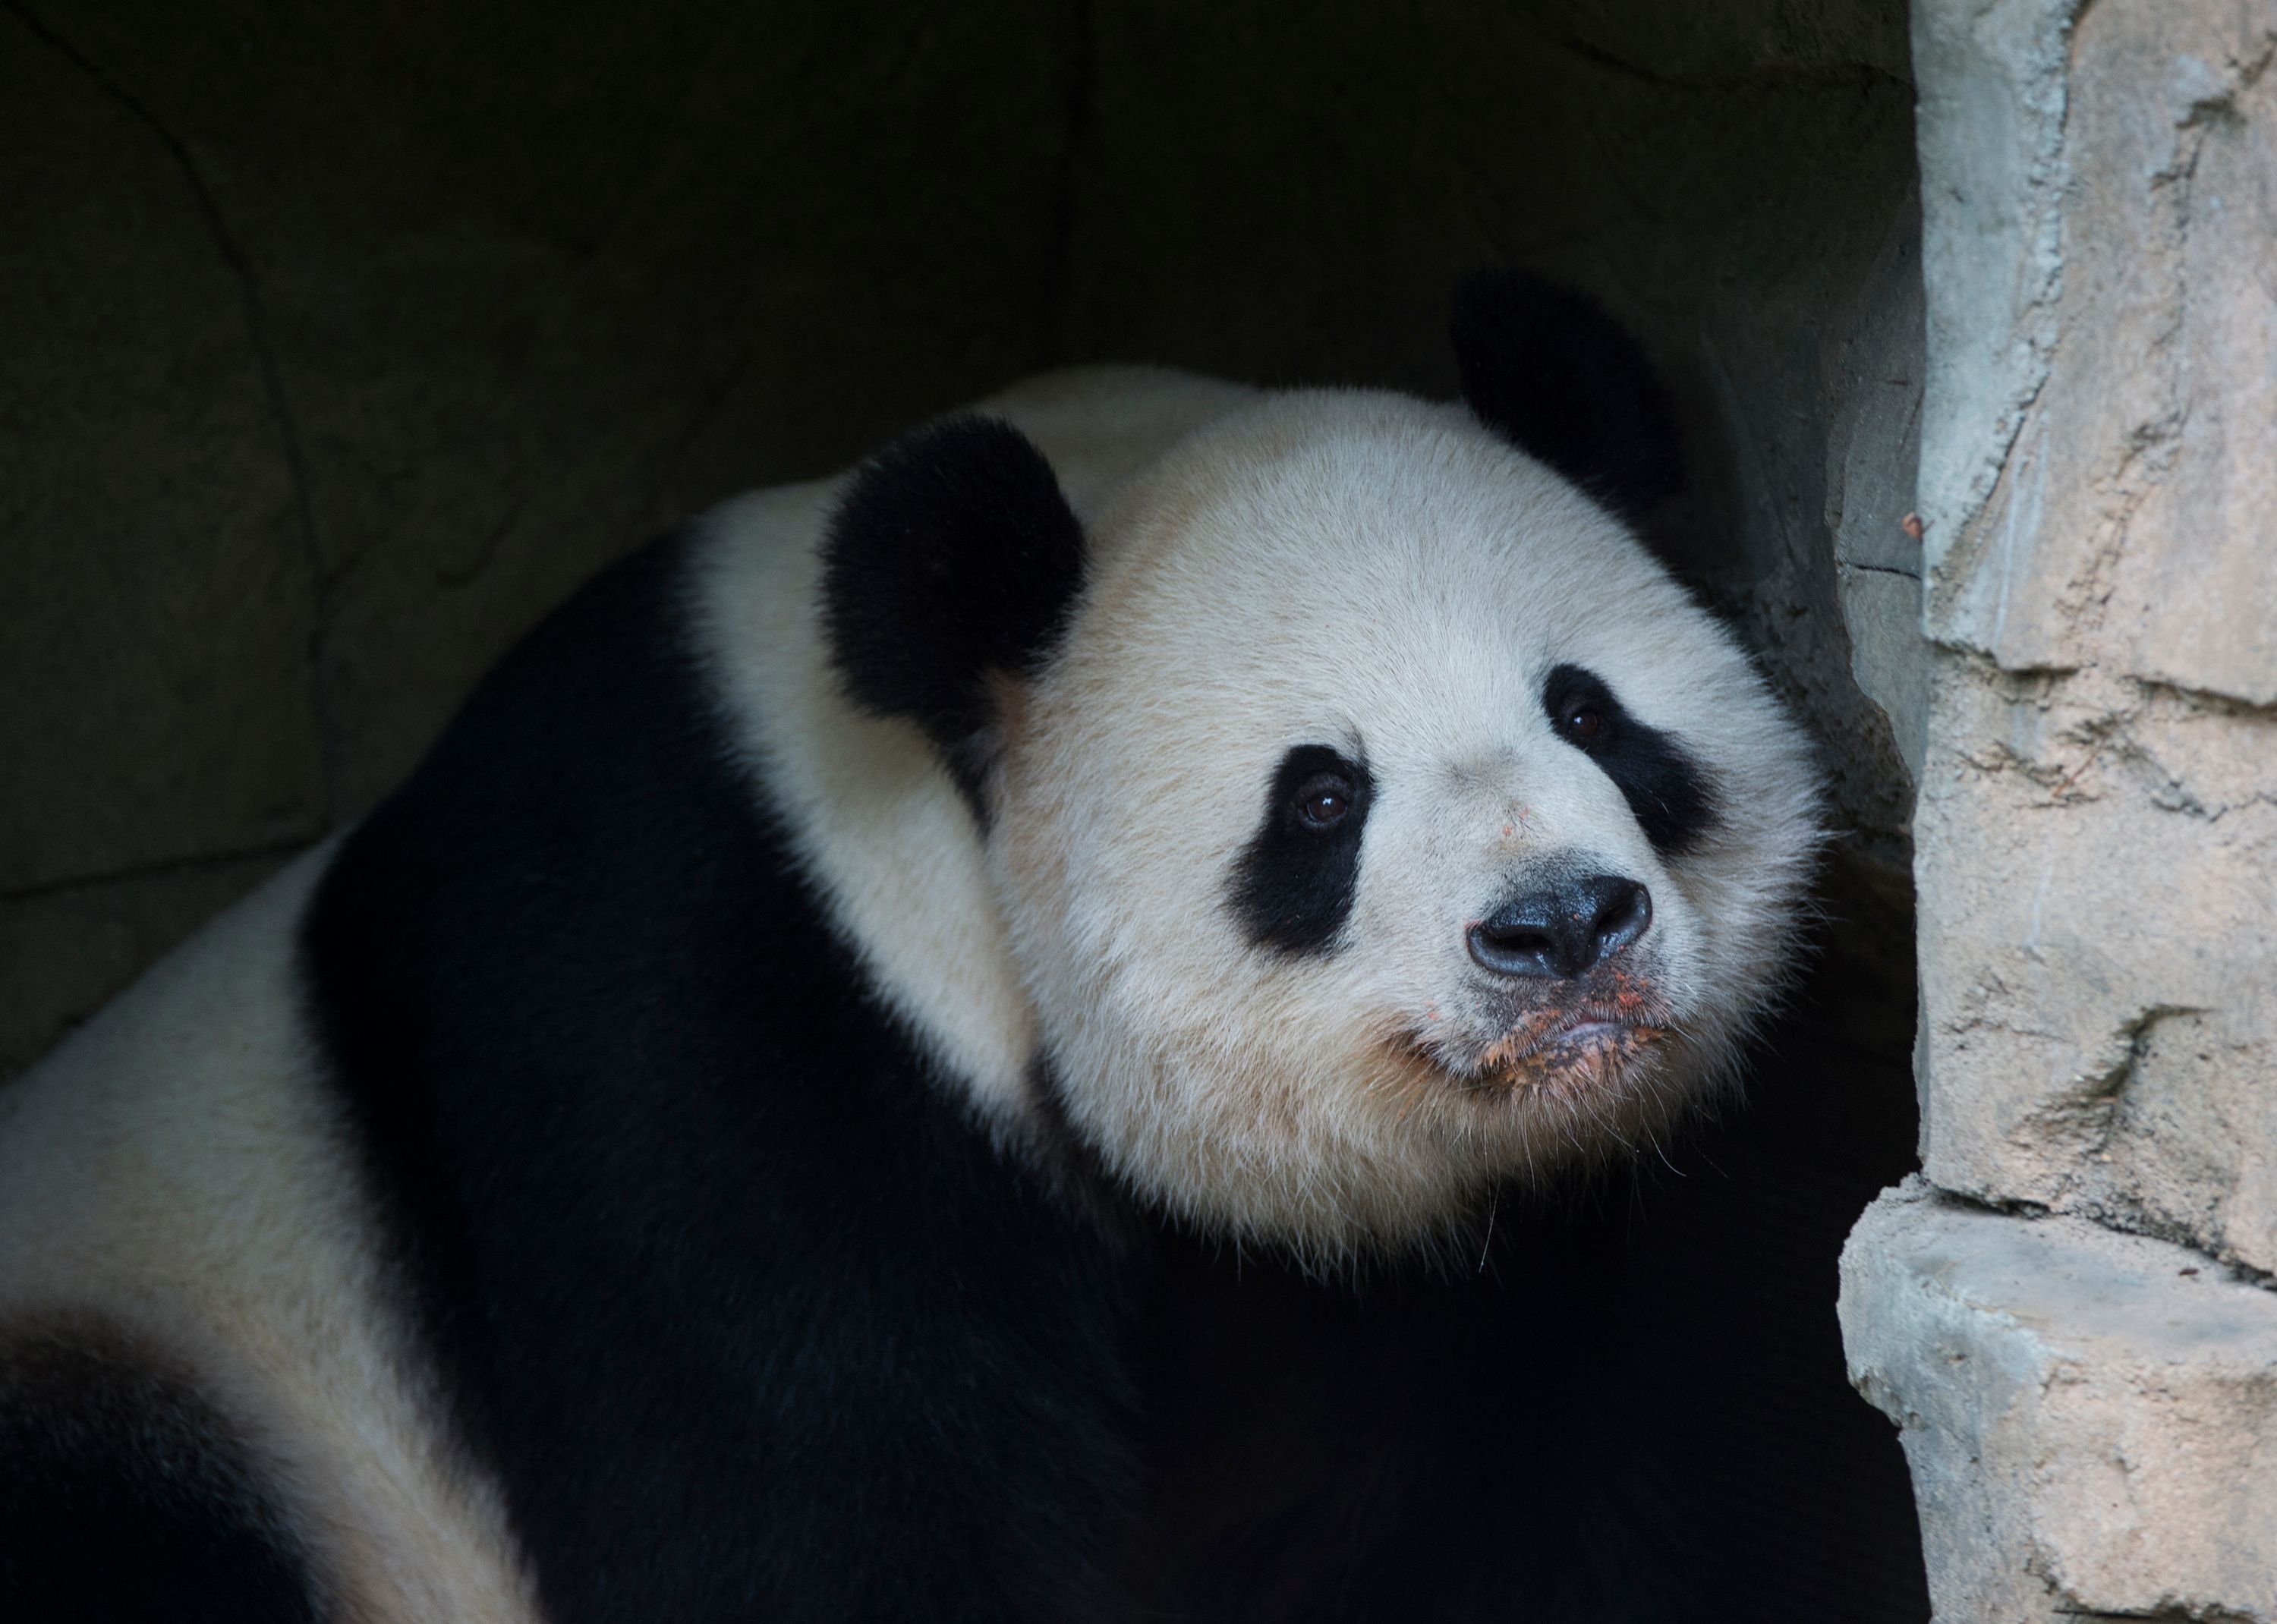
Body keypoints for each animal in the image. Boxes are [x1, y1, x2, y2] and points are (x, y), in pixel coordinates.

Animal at [0, 272, 1819, 1623]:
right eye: (1319, 798)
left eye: (1586, 709)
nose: (1561, 926)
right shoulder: (698, 1040)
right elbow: (798, 1506)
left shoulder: (1467, 1276)